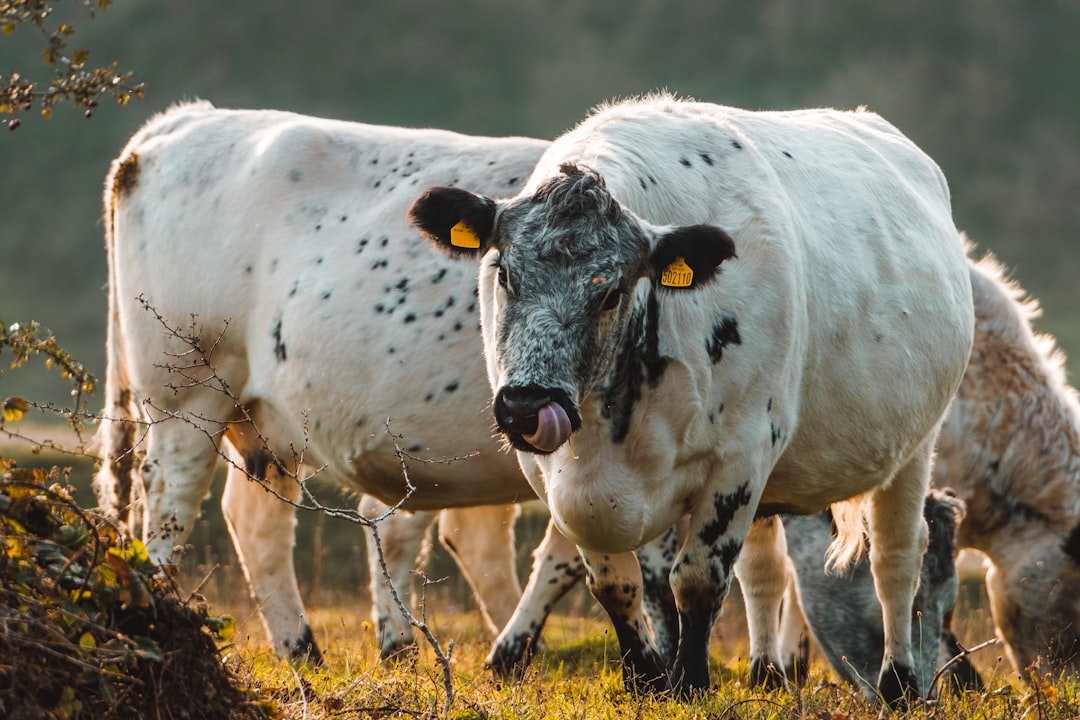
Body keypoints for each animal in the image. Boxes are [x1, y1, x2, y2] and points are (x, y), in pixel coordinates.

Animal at [406, 92, 980, 708]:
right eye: (506, 273)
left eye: (610, 292)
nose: (525, 407)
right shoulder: (555, 477)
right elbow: (618, 583)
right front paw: (644, 679)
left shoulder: (741, 455)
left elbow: (698, 580)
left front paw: (689, 685)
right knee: (764, 569)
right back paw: (765, 675)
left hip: (914, 444)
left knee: (897, 559)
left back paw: (900, 684)